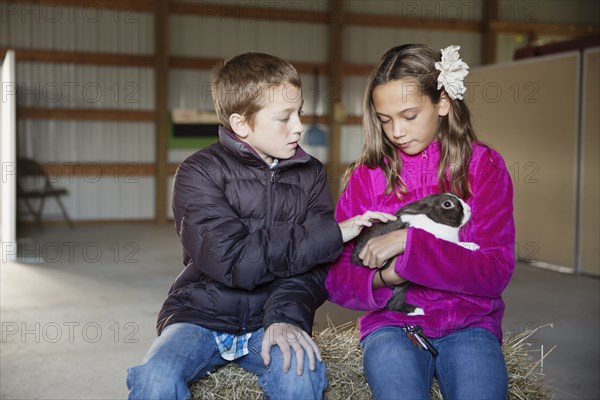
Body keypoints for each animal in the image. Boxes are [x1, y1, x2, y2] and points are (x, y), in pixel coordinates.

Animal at [350, 192, 480, 314]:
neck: (435, 222)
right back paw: (417, 310)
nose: (469, 209)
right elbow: (453, 245)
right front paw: (473, 246)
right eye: (447, 204)